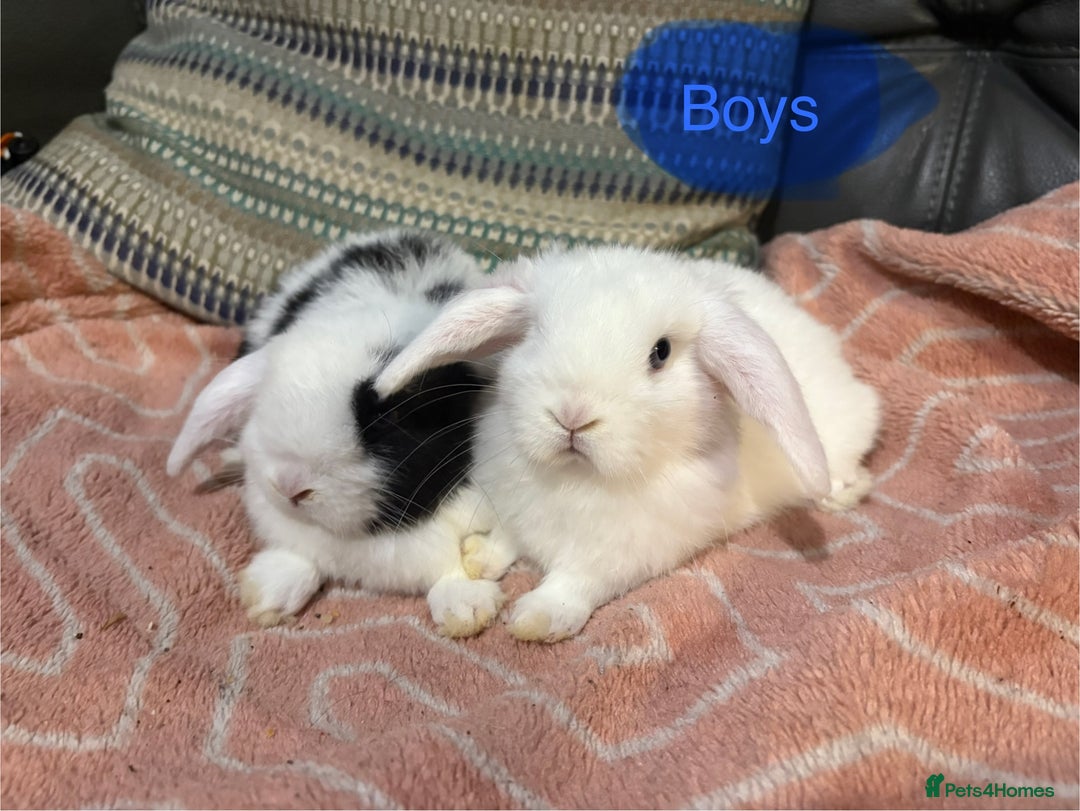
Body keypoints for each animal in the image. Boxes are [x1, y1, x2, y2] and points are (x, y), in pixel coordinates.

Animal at [166, 229, 508, 637]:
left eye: (390, 416)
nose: (290, 486)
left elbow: (453, 566)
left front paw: (465, 610)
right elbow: (297, 556)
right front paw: (267, 593)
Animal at [374, 244, 881, 642]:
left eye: (661, 352)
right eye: (536, 334)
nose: (572, 416)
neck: (575, 477)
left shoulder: (623, 556)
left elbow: (578, 583)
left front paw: (538, 618)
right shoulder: (513, 510)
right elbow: (506, 539)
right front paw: (477, 558)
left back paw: (843, 492)